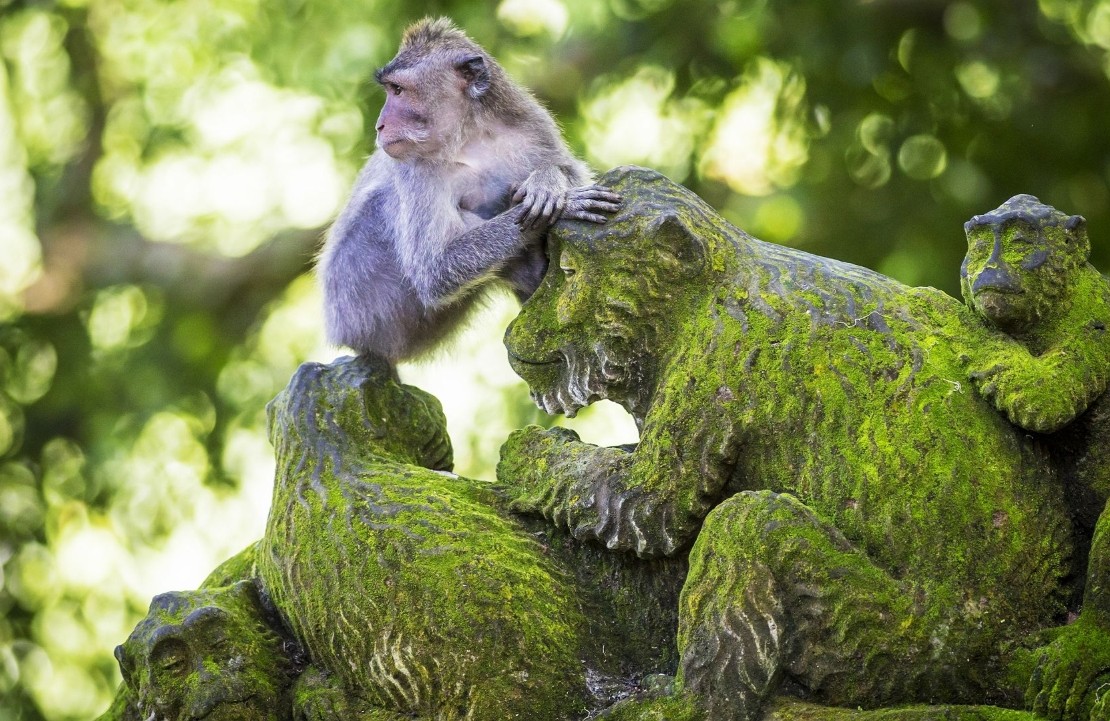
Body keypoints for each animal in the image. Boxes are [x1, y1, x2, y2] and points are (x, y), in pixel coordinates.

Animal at [317, 18, 621, 359]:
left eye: (397, 90)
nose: (380, 126)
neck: (468, 135)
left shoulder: (531, 123)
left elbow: (571, 168)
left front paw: (547, 181)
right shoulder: (413, 168)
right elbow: (434, 269)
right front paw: (567, 202)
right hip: (364, 304)